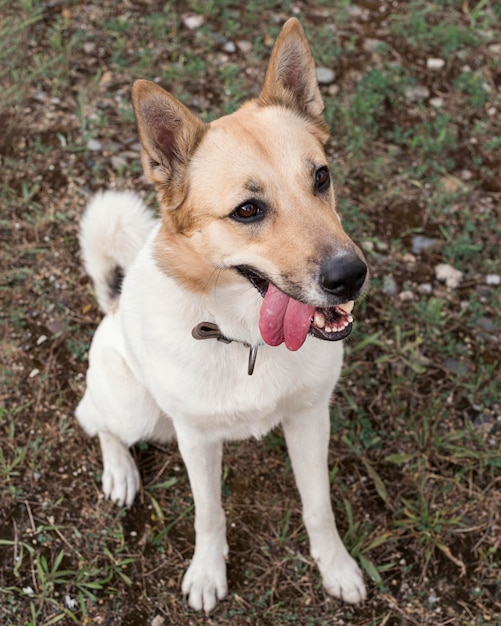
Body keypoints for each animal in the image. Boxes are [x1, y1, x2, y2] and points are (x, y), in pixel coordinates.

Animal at [76, 18, 370, 608]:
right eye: (248, 210)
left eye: (321, 177)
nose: (351, 277)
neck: (246, 338)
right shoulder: (197, 438)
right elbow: (209, 515)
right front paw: (208, 573)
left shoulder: (310, 418)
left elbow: (319, 507)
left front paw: (336, 567)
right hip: (136, 409)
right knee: (95, 420)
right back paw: (120, 472)